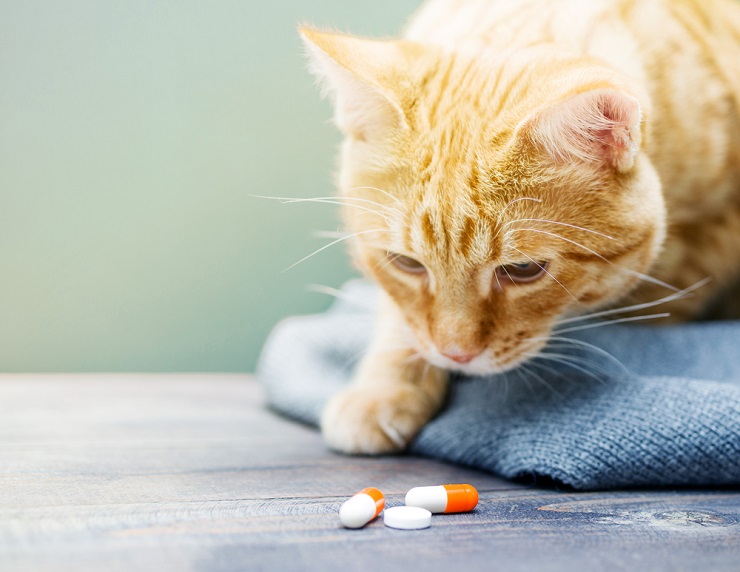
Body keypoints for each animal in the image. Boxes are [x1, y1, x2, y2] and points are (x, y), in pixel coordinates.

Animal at [300, 0, 740, 456]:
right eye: (406, 263)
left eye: (523, 270)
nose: (456, 355)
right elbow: (402, 318)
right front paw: (385, 385)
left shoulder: (711, 238)